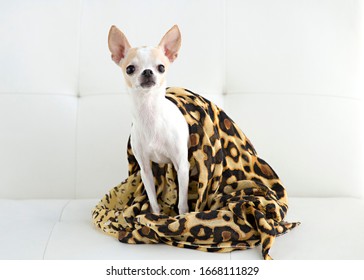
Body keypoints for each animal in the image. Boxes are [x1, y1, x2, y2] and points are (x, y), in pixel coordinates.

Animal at [108, 26, 189, 214]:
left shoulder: (182, 167)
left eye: (161, 67)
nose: (147, 72)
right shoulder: (145, 169)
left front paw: (184, 216)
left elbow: (182, 203)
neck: (150, 113)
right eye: (130, 69)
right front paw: (156, 215)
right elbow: (153, 200)